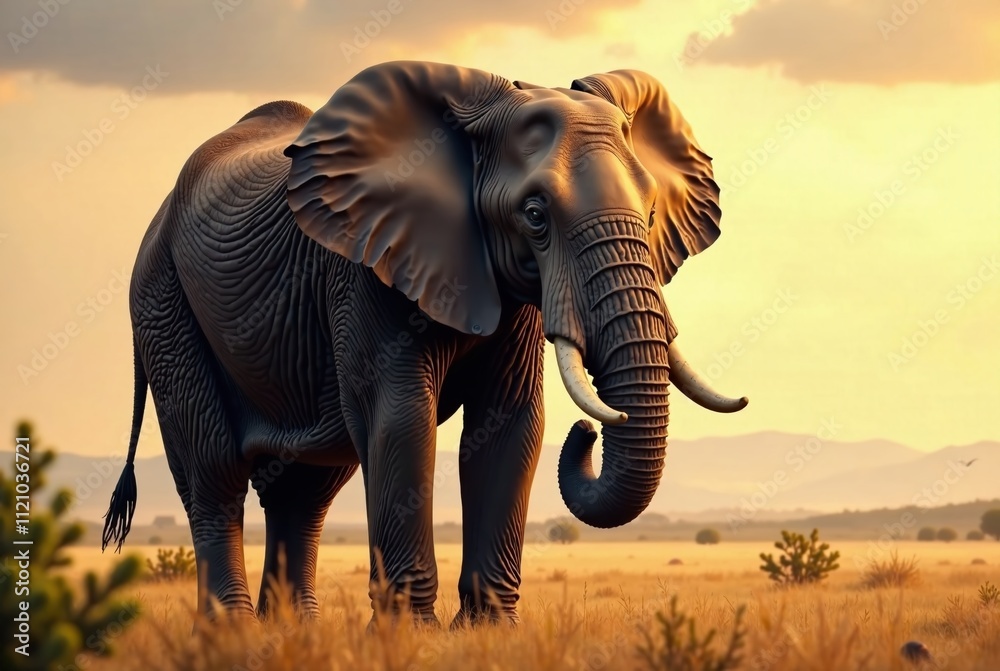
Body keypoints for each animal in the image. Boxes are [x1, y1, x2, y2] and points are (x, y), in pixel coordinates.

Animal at [101, 61, 747, 626]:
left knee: (302, 490)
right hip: (163, 301)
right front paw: (409, 636)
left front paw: (487, 633)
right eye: (535, 215)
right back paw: (230, 635)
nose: (587, 431)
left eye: (652, 210)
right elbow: (400, 419)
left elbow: (511, 422)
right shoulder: (365, 269)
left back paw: (292, 634)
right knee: (214, 474)